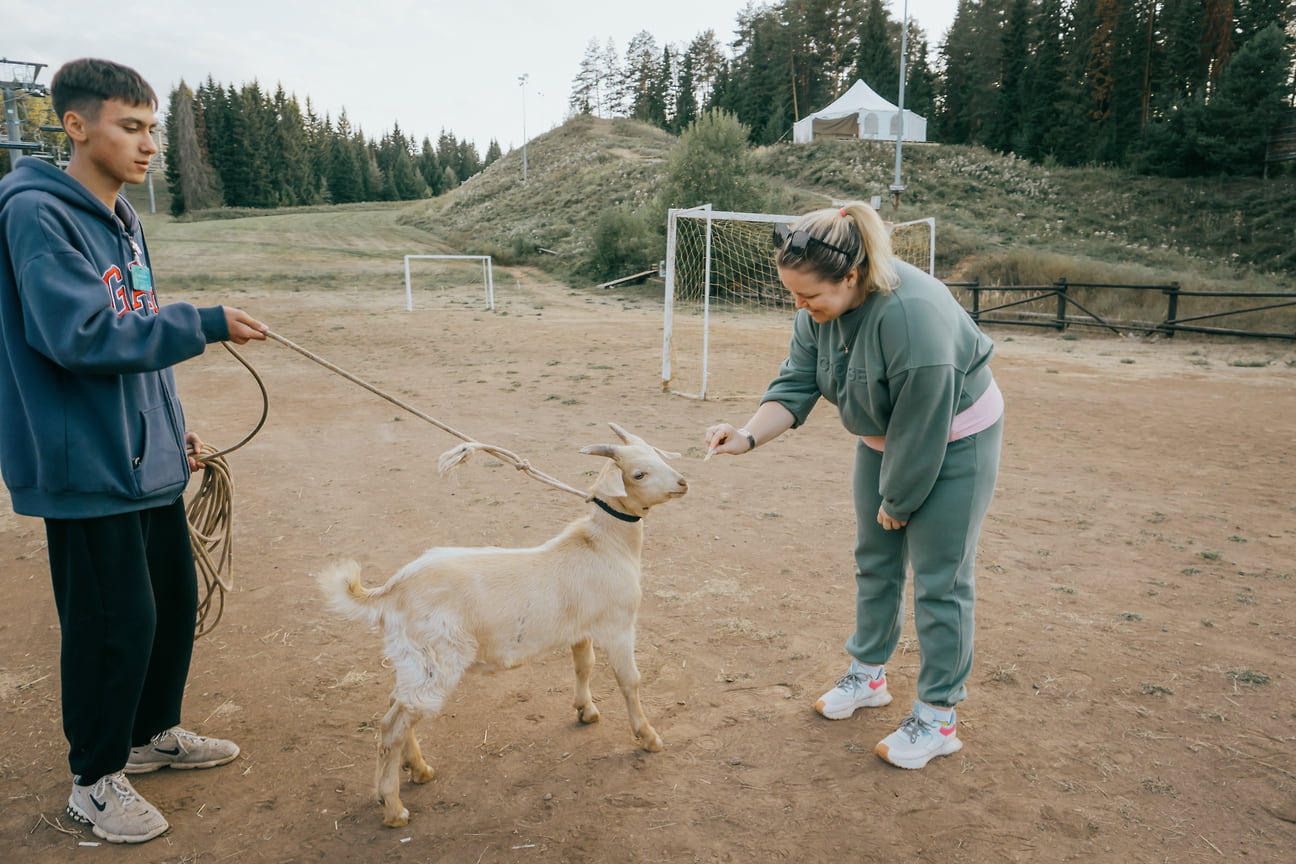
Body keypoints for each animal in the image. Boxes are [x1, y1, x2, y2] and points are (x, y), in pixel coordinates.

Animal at [318, 422, 689, 829]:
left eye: (656, 454)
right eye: (638, 474)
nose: (683, 483)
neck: (603, 544)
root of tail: (389, 591)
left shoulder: (581, 628)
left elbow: (583, 665)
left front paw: (586, 711)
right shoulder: (618, 624)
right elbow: (629, 681)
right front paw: (648, 737)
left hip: (412, 660)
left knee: (397, 707)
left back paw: (418, 770)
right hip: (437, 658)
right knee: (391, 726)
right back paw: (394, 808)